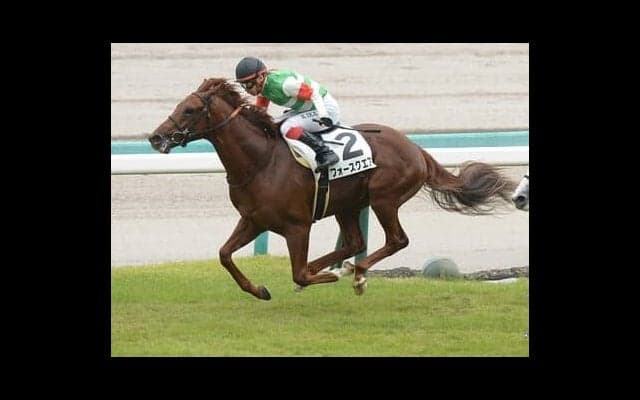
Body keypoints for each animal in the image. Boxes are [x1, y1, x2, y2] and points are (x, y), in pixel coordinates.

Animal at [148, 78, 516, 300]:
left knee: (396, 240)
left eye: (190, 109)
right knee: (355, 242)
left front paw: (321, 277)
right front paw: (259, 289)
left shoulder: (297, 226)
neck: (260, 161)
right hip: (348, 204)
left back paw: (355, 272)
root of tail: (416, 148)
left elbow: (297, 272)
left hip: (384, 198)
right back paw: (338, 267)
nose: (155, 137)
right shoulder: (253, 219)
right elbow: (224, 255)